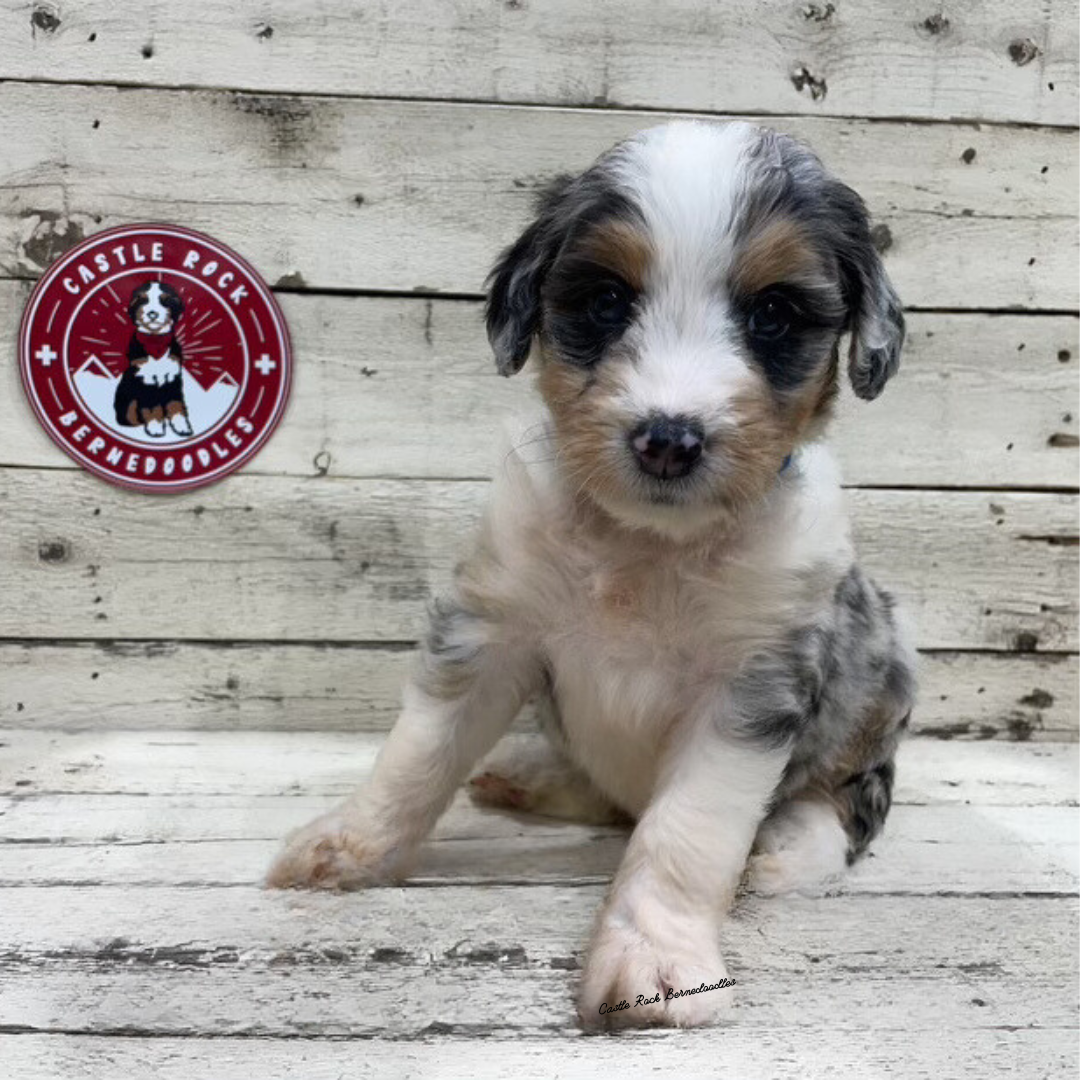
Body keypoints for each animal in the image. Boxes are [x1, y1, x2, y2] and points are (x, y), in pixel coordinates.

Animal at [113, 280, 194, 436]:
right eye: (143, 300)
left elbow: (176, 404)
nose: (152, 313)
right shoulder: (145, 378)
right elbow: (152, 407)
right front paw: (156, 427)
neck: (155, 341)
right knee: (129, 416)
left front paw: (182, 427)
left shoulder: (173, 377)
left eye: (165, 301)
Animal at [265, 120, 915, 1028]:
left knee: (851, 801)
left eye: (774, 313)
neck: (647, 545)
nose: (669, 439)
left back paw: (788, 848)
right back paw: (530, 777)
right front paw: (350, 845)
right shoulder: (492, 629)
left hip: (879, 678)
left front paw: (656, 961)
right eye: (607, 301)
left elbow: (685, 834)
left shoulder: (750, 684)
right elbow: (417, 755)